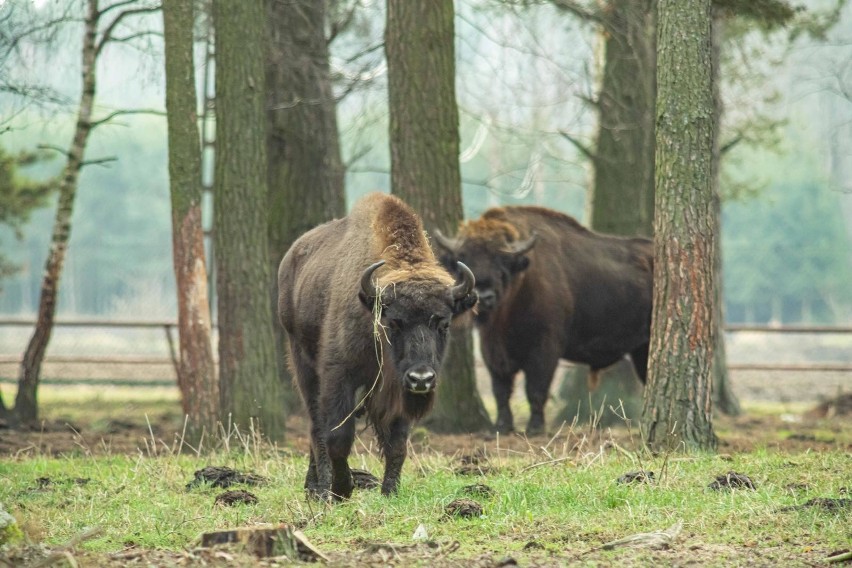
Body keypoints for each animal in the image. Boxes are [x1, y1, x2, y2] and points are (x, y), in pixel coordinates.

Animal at [280, 193, 480, 500]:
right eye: (393, 322)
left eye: (444, 324)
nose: (421, 379)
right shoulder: (339, 376)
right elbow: (338, 436)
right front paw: (341, 489)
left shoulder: (397, 389)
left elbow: (397, 441)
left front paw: (390, 492)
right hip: (302, 363)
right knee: (316, 427)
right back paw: (317, 489)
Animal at [432, 206, 652, 432]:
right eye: (464, 257)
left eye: (502, 261)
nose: (485, 296)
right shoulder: (492, 350)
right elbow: (501, 390)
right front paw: (502, 427)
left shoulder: (545, 349)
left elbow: (536, 389)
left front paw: (535, 428)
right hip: (640, 349)